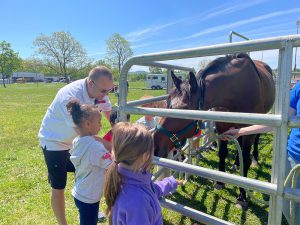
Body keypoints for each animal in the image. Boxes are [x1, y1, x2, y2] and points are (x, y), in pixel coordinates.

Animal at [154, 52, 276, 209]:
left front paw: (242, 196)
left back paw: (254, 159)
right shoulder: (222, 127)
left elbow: (246, 160)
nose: (154, 144)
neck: (237, 92)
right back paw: (236, 163)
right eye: (167, 102)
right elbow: (222, 153)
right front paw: (220, 181)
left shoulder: (249, 130)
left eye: (183, 110)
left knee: (255, 141)